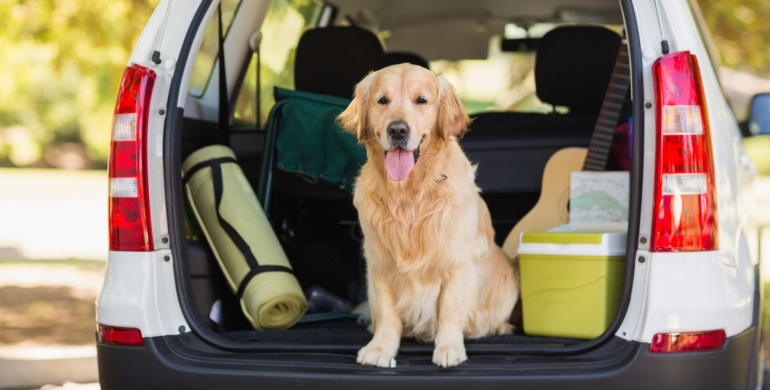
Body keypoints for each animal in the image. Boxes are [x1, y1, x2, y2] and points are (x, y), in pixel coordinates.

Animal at [336, 62, 516, 368]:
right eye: (382, 100)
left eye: (421, 100)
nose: (397, 129)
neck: (409, 194)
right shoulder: (379, 261)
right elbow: (387, 313)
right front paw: (380, 348)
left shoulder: (458, 261)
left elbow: (451, 309)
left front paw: (449, 348)